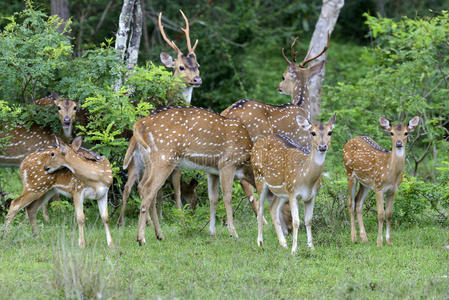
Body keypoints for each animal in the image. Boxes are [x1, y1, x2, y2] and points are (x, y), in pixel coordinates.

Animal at [130, 106, 256, 245]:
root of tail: (139, 124)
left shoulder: (213, 171)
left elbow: (213, 198)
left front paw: (212, 231)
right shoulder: (227, 163)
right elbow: (227, 197)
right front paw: (233, 233)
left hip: (149, 162)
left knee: (143, 187)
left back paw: (159, 235)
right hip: (164, 157)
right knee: (148, 188)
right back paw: (141, 238)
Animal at [221, 36, 328, 231]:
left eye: (282, 76)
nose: (279, 87)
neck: (302, 107)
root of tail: (228, 113)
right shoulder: (302, 144)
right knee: (245, 181)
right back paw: (262, 220)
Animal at [252, 113, 336, 253]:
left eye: (330, 132)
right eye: (312, 133)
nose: (322, 146)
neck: (307, 179)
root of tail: (256, 143)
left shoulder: (311, 196)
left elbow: (308, 220)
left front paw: (311, 247)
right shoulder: (293, 192)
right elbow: (296, 221)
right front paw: (294, 250)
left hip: (281, 192)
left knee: (272, 208)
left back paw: (283, 243)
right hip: (258, 176)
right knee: (260, 208)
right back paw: (260, 242)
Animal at [344, 116, 420, 247]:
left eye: (406, 133)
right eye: (391, 133)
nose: (398, 143)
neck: (391, 173)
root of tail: (349, 141)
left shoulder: (393, 190)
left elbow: (389, 214)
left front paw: (389, 241)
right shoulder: (379, 187)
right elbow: (380, 214)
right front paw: (379, 242)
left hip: (365, 183)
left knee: (358, 202)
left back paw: (364, 238)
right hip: (349, 173)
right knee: (350, 202)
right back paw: (354, 238)